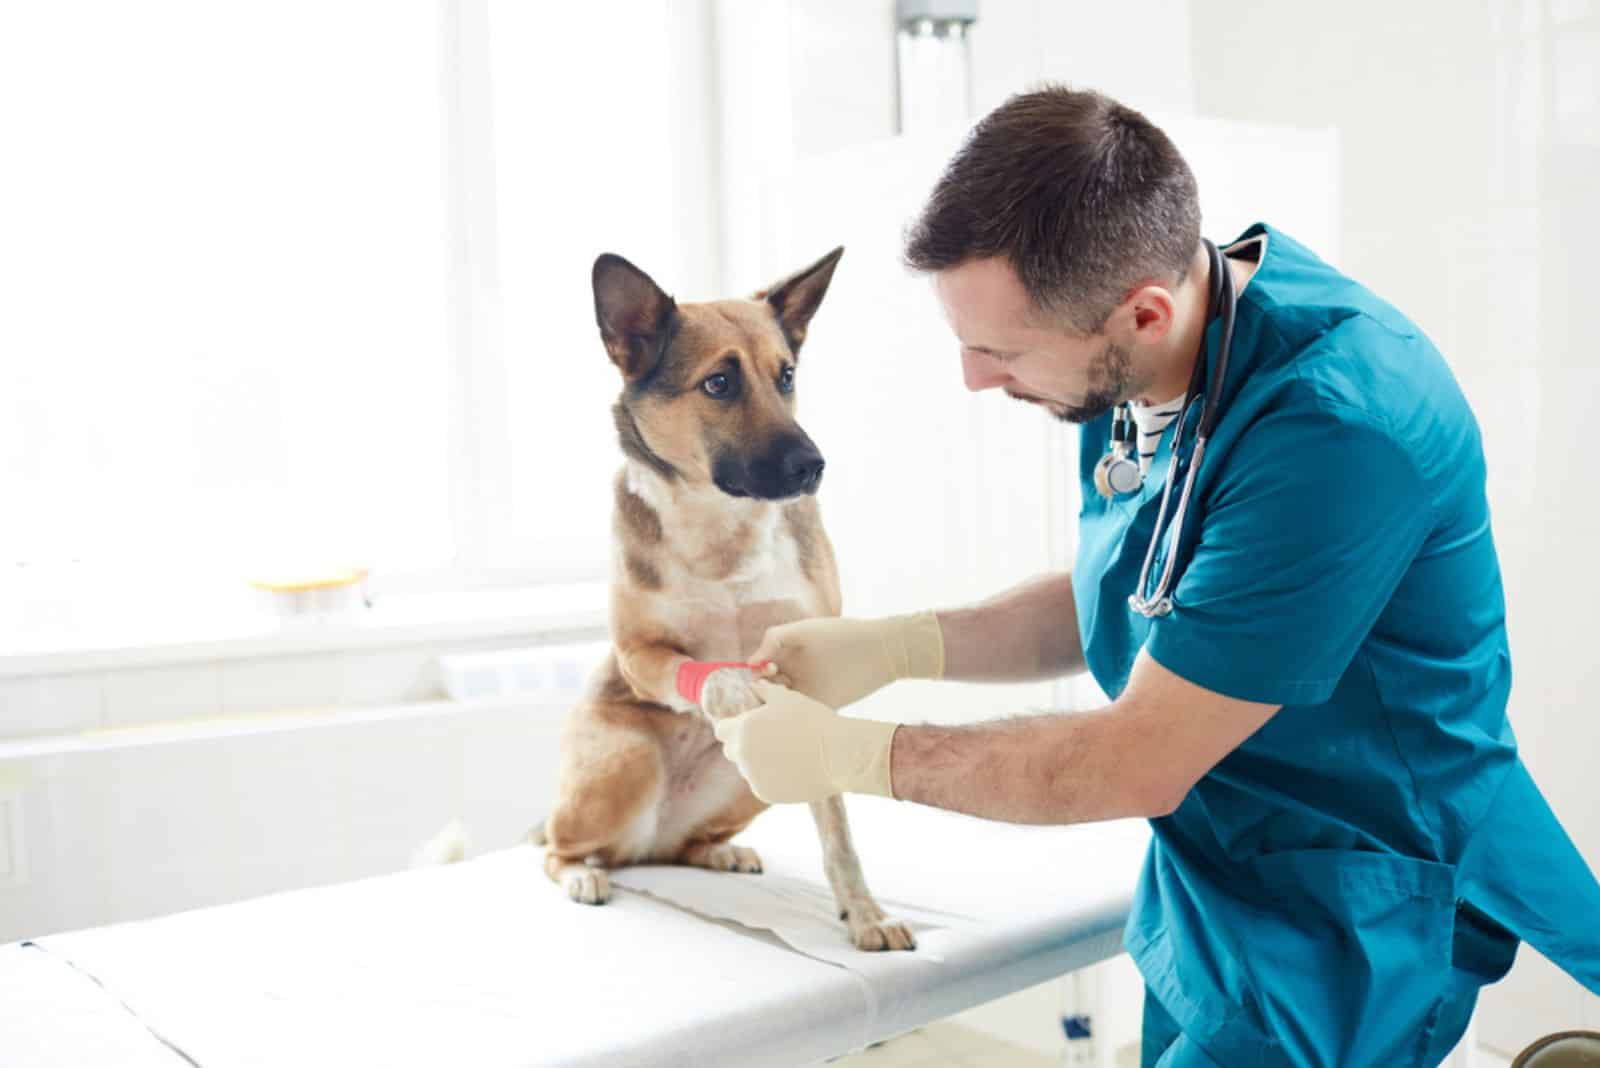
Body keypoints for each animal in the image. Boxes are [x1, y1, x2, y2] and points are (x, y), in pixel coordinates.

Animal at [531, 244, 915, 952]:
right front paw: (733, 689)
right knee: (558, 846)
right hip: (623, 760)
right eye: (718, 384)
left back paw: (717, 851)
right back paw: (583, 873)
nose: (813, 466)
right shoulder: (640, 655)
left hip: (750, 785)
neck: (720, 525)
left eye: (786, 376)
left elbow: (839, 836)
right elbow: (707, 673)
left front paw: (865, 913)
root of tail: (647, 839)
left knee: (682, 845)